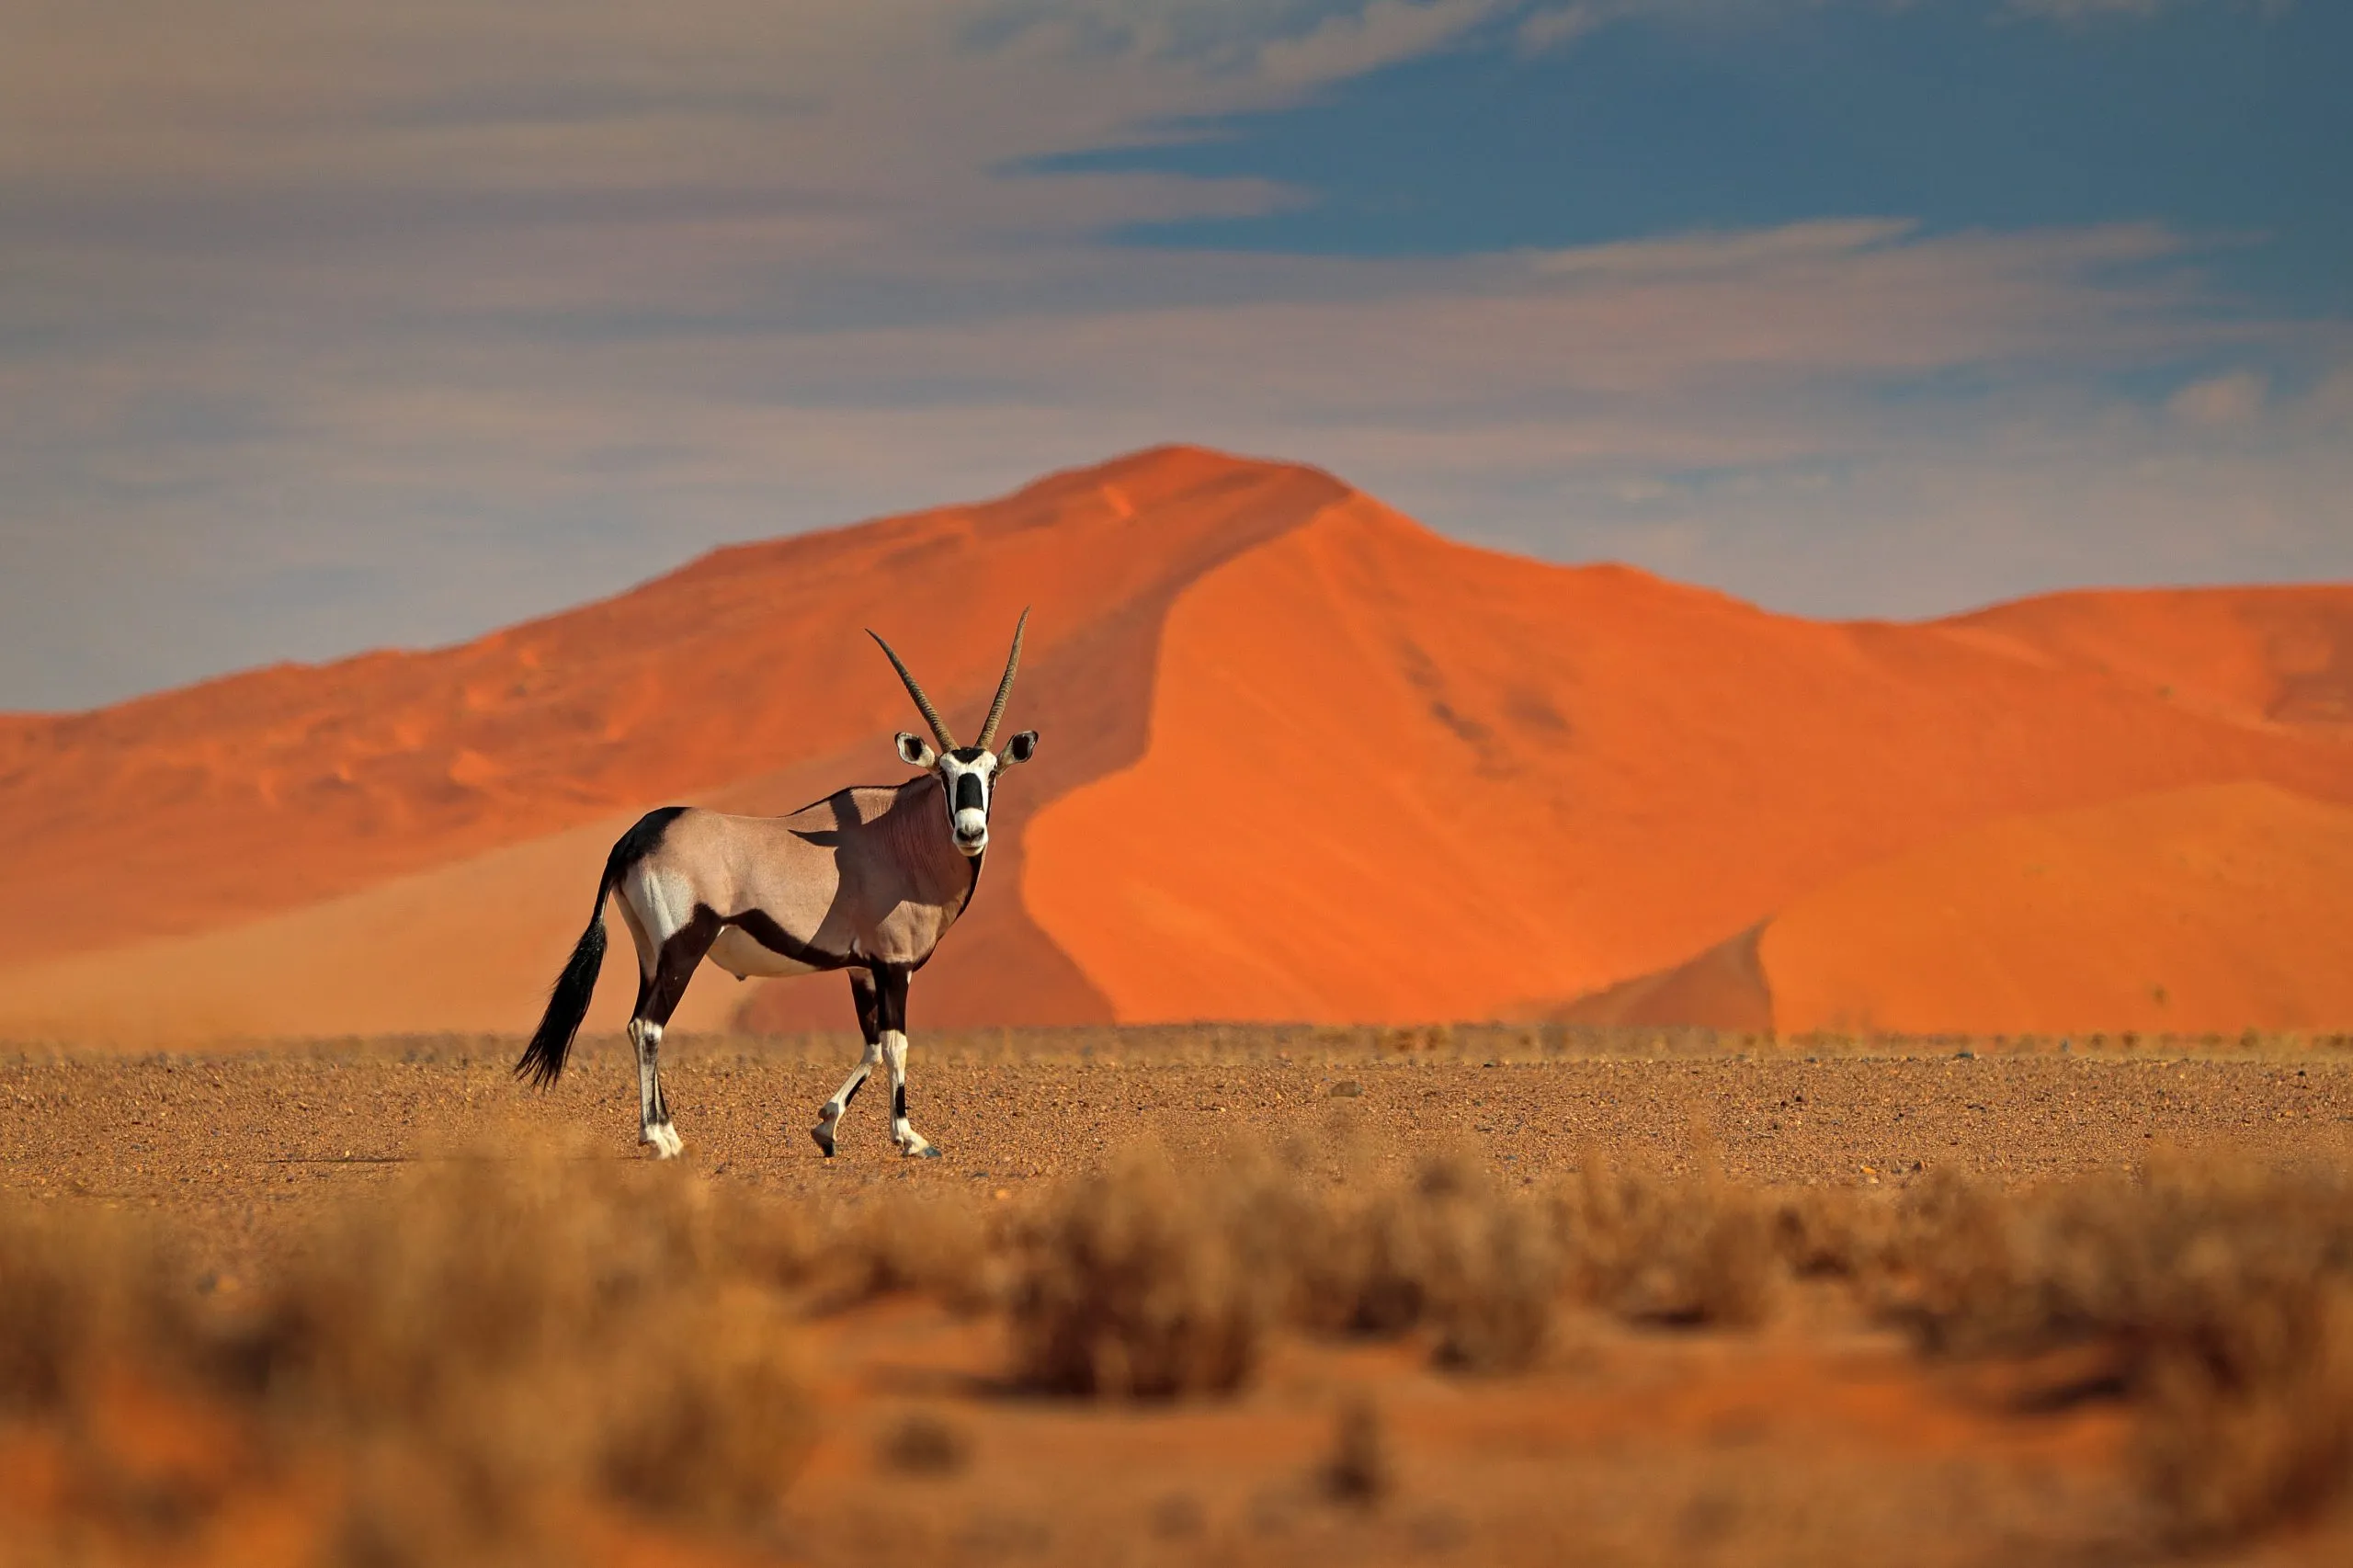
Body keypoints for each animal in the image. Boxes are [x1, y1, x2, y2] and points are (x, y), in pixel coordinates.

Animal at [515, 612, 1038, 1160]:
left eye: (991, 773)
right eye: (944, 774)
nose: (970, 832)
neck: (899, 836)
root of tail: (634, 837)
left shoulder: (861, 969)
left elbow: (872, 1045)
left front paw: (826, 1127)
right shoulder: (894, 966)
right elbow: (896, 1045)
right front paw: (909, 1138)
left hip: (650, 952)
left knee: (639, 1022)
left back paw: (667, 1130)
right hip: (684, 948)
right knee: (648, 1026)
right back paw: (659, 1138)